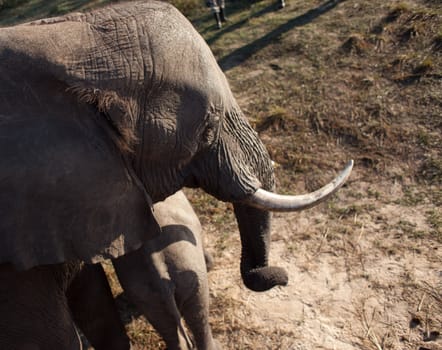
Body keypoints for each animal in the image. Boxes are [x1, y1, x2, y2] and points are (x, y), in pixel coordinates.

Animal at [70, 191, 220, 350]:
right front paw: (210, 264)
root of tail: (159, 271)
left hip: (147, 293)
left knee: (166, 324)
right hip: (188, 270)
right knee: (198, 315)